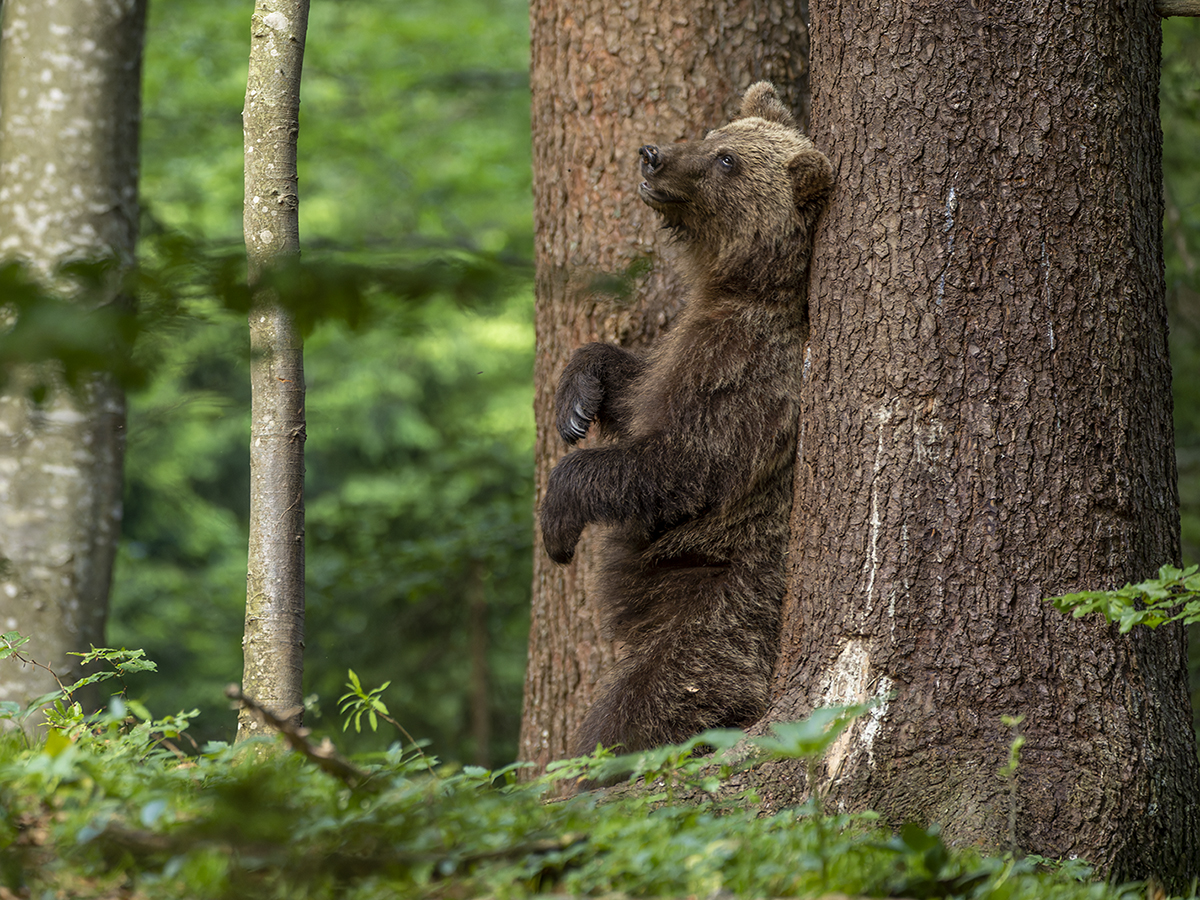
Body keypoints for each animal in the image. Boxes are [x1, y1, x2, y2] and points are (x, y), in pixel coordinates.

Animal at [542, 84, 835, 758]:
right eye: (713, 132)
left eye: (728, 161)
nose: (652, 154)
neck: (738, 286)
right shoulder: (683, 345)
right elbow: (637, 389)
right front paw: (578, 398)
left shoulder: (745, 370)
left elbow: (683, 459)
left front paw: (557, 517)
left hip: (721, 605)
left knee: (648, 704)